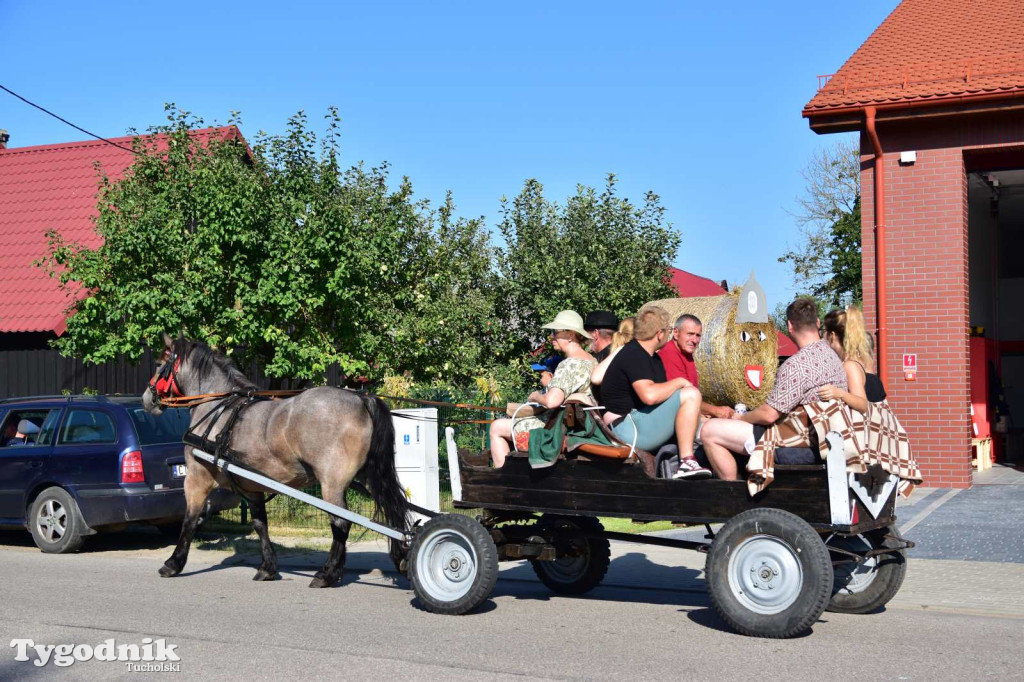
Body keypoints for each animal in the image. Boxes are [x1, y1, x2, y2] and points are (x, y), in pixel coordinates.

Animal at [144, 333, 407, 585]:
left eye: (158, 363)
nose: (147, 398)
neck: (217, 409)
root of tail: (361, 399)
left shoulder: (197, 478)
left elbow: (189, 520)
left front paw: (173, 563)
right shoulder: (251, 487)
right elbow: (260, 524)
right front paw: (267, 567)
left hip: (332, 484)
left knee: (341, 523)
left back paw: (327, 574)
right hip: (369, 478)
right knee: (393, 512)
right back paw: (399, 559)